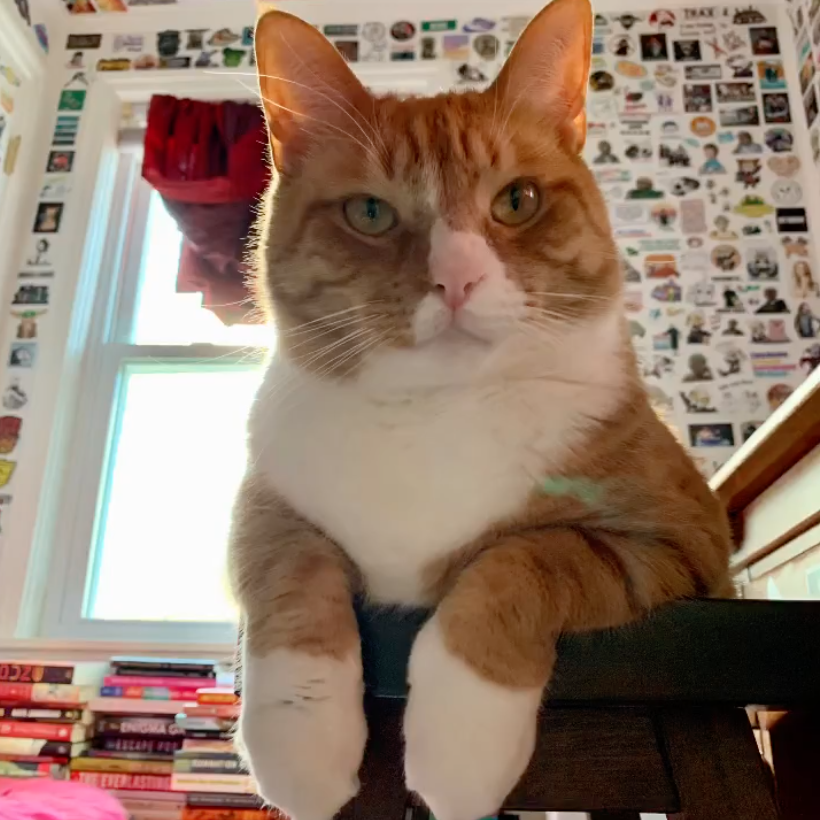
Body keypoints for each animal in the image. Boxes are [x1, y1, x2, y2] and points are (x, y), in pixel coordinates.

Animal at [227, 1, 732, 820]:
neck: (436, 413)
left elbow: (524, 559)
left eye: (517, 200)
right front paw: (302, 744)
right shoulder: (266, 499)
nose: (456, 280)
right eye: (370, 212)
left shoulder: (684, 546)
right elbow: (288, 571)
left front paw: (460, 746)